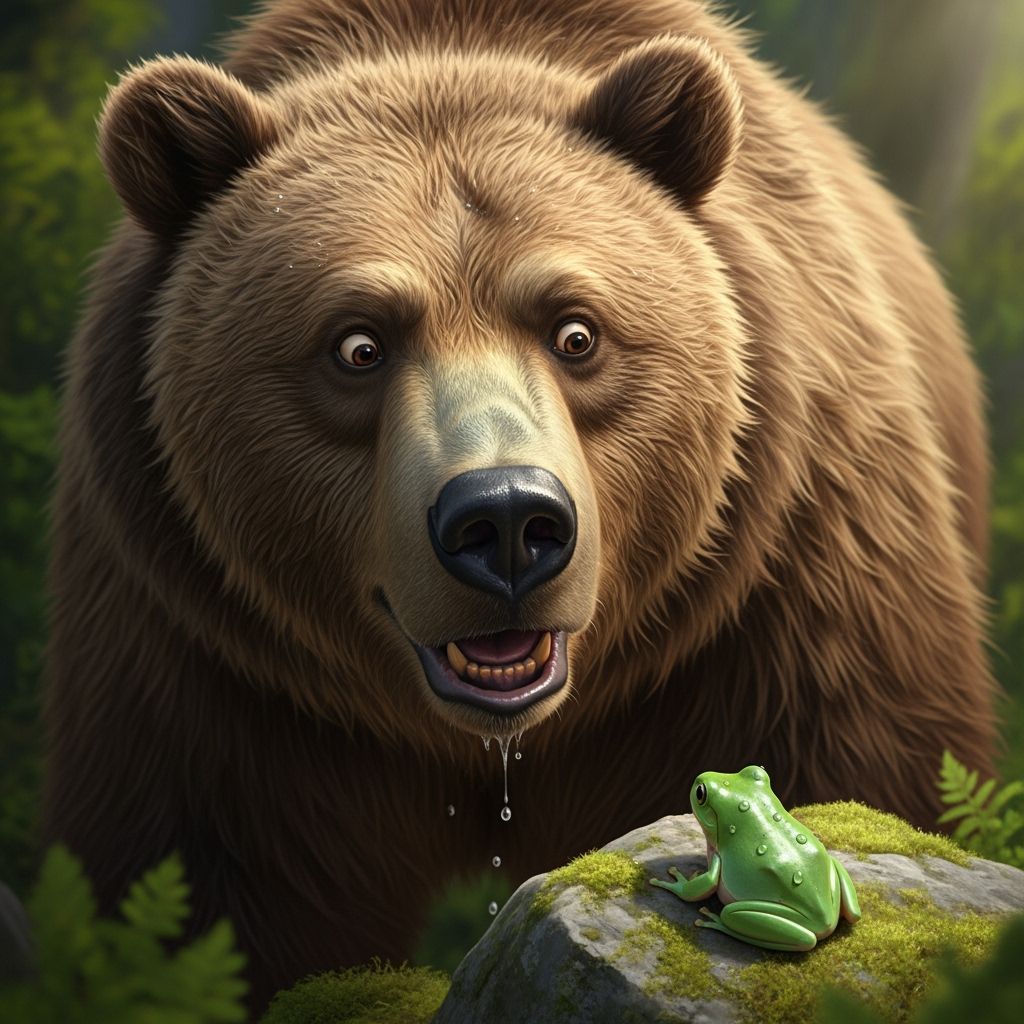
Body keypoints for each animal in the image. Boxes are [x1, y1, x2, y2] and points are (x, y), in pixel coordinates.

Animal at [44, 0, 998, 1012]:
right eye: (357, 344)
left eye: (577, 331)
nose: (504, 521)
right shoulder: (203, 661)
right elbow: (215, 889)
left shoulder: (785, 588)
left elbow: (862, 762)